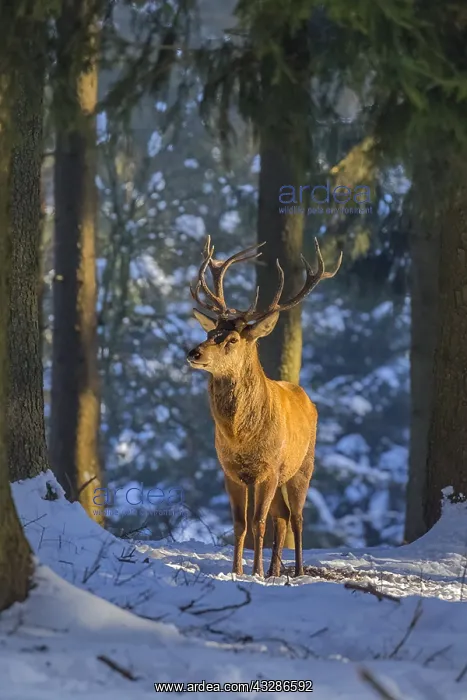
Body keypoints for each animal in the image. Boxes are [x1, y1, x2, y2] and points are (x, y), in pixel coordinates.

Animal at [187, 236, 342, 578]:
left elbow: (257, 522)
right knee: (281, 517)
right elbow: (240, 523)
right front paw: (238, 571)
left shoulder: (268, 469)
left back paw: (296, 570)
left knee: (296, 517)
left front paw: (254, 571)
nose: (193, 352)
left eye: (232, 339)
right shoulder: (230, 471)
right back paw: (274, 572)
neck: (241, 438)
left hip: (303, 466)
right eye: (209, 332)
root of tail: (306, 397)